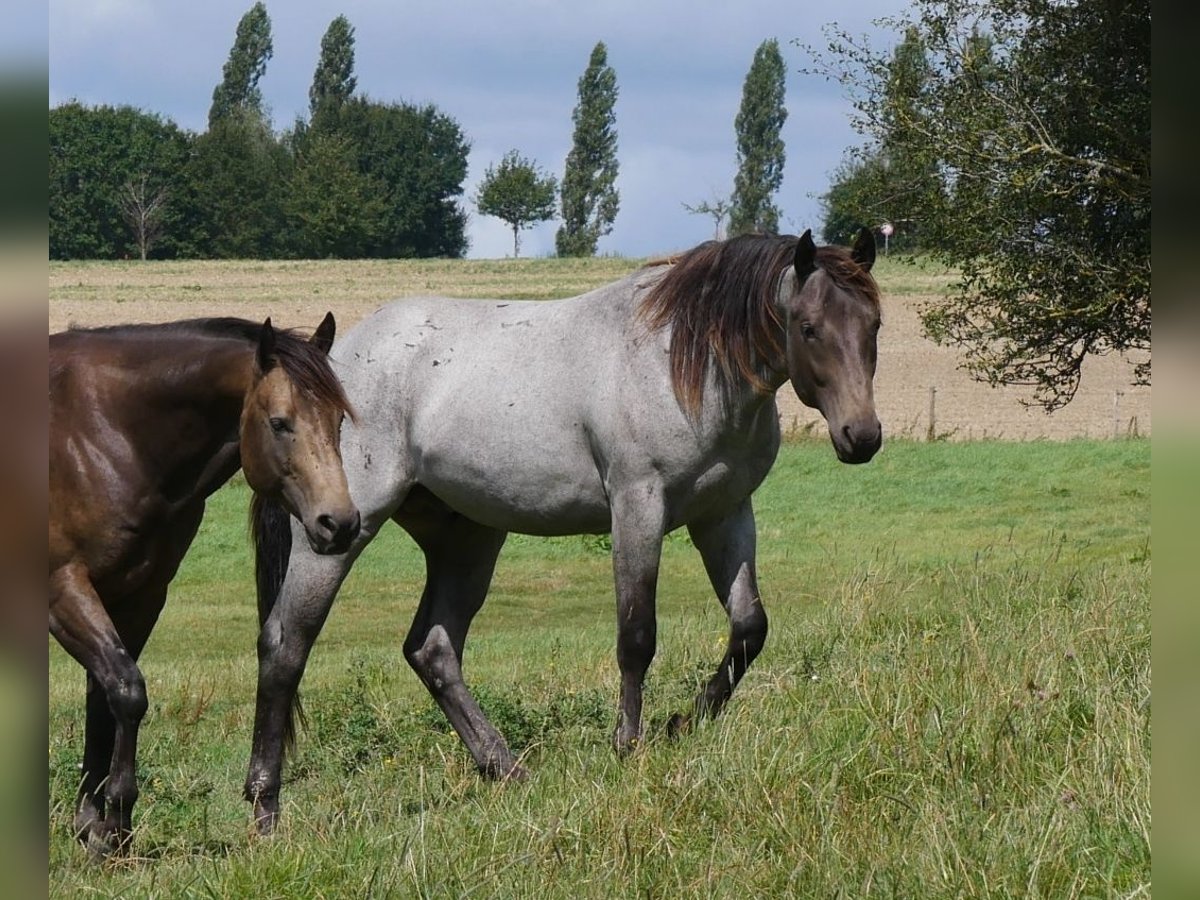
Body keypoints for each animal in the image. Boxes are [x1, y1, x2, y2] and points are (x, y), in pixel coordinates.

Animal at [49, 314, 357, 854]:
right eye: (280, 423)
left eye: (338, 421)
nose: (338, 524)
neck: (102, 433)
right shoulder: (62, 586)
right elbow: (127, 690)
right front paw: (117, 820)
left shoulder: (140, 595)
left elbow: (105, 697)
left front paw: (96, 827)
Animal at [243, 229, 883, 835]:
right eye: (808, 327)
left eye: (873, 324)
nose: (863, 436)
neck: (682, 364)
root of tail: (326, 367)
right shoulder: (637, 508)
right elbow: (637, 636)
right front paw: (629, 746)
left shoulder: (724, 514)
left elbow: (749, 627)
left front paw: (680, 723)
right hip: (337, 533)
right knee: (285, 644)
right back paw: (264, 807)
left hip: (466, 539)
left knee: (433, 650)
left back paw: (505, 769)